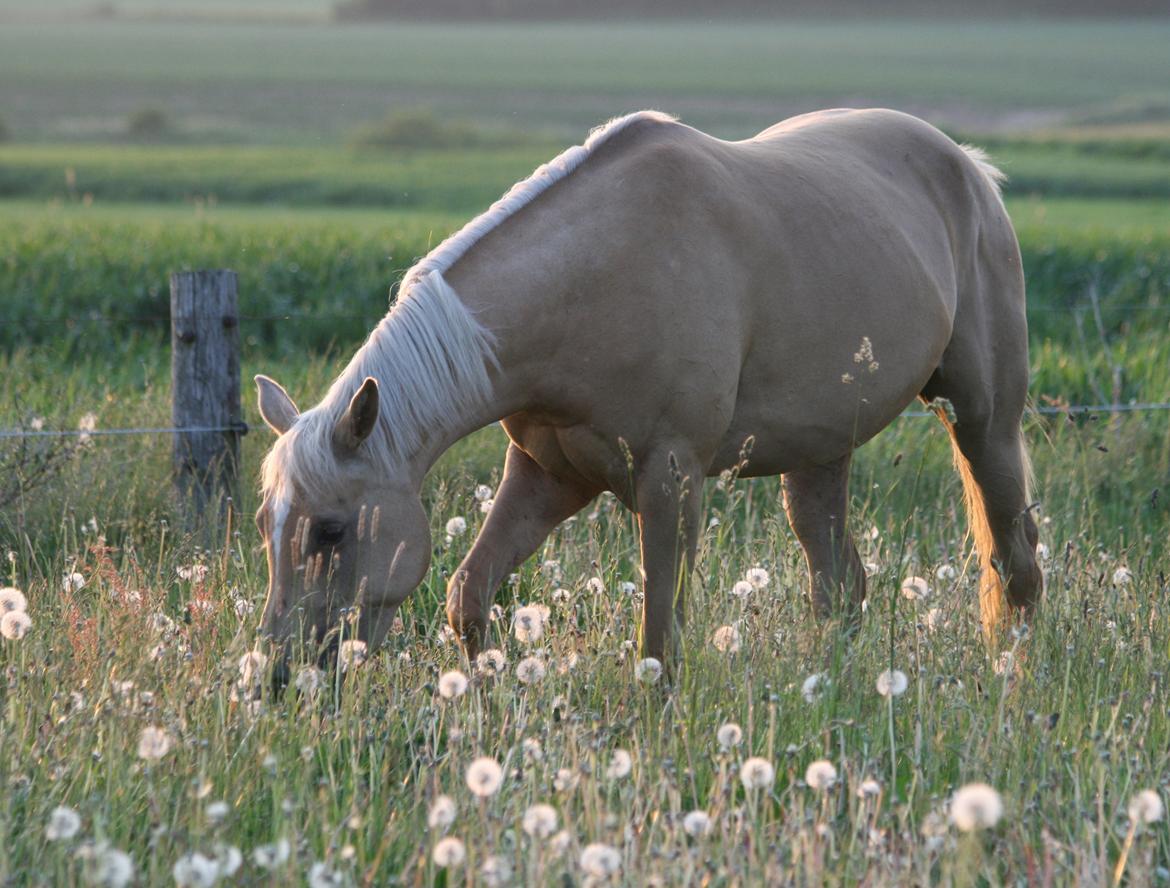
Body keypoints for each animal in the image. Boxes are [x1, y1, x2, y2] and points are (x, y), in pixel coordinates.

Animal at [256, 107, 1043, 664]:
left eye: (330, 529)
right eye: (269, 524)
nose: (280, 676)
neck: (594, 283)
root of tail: (968, 166)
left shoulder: (671, 481)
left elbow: (659, 641)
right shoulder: (547, 475)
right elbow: (468, 599)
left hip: (982, 420)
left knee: (1016, 562)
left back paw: (1016, 677)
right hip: (820, 454)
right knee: (839, 585)